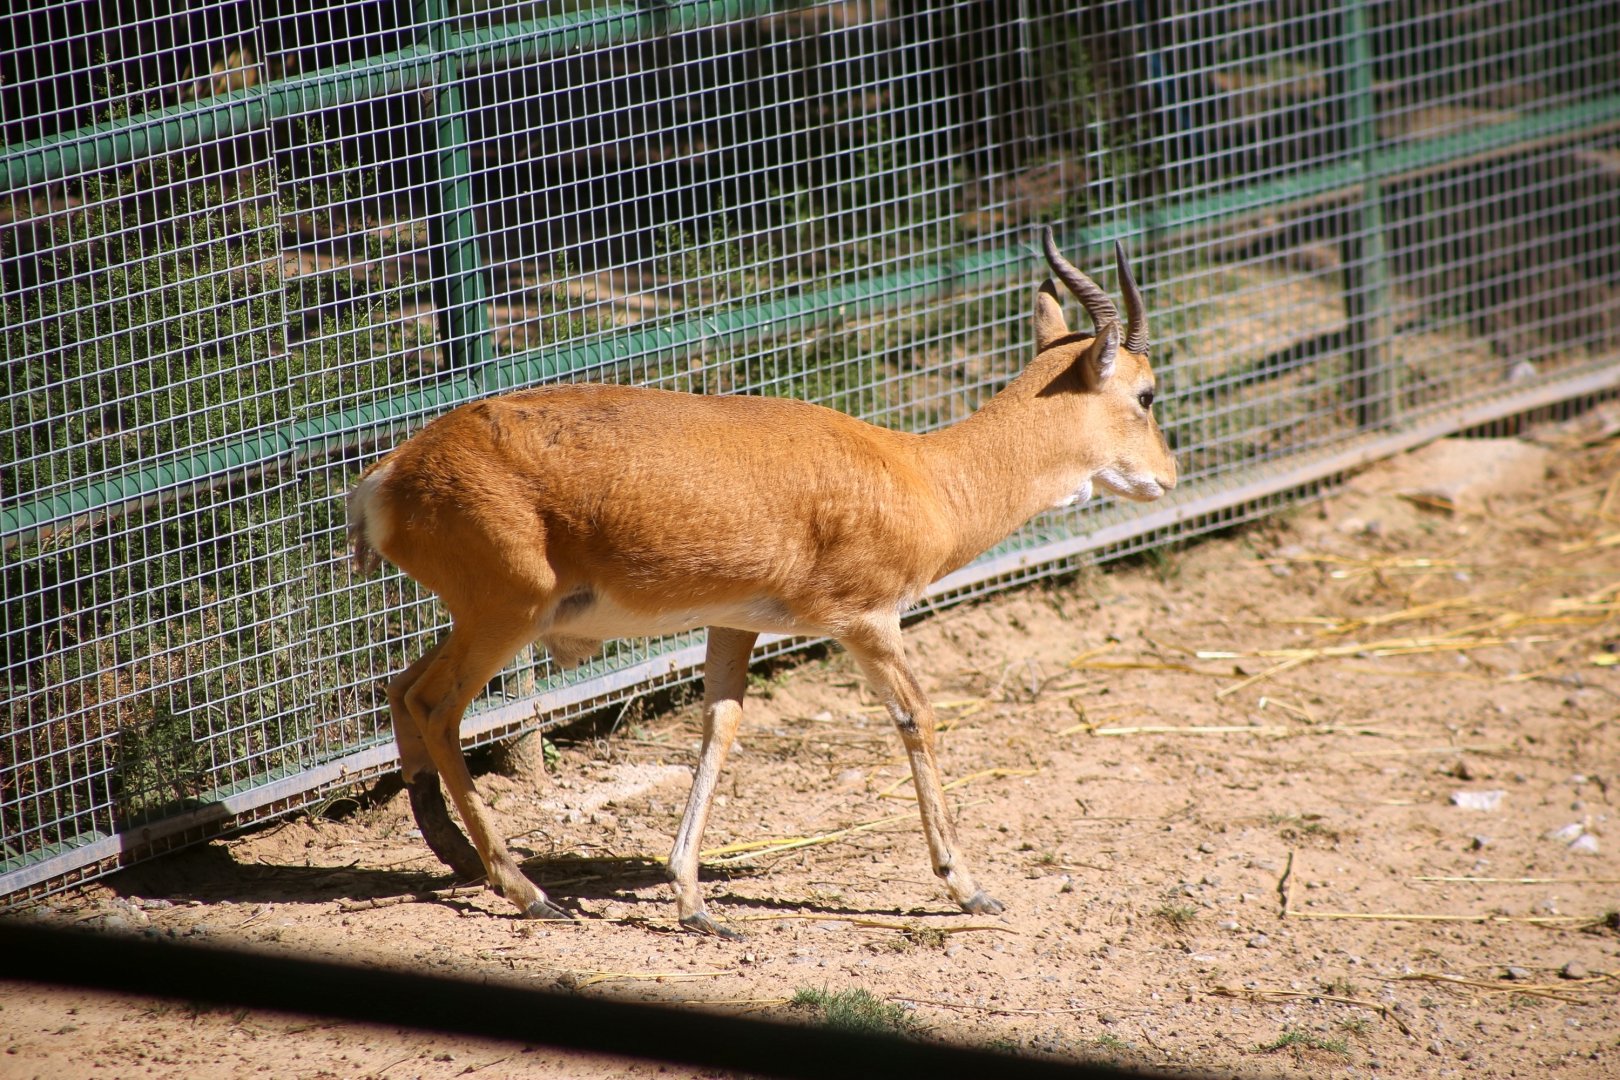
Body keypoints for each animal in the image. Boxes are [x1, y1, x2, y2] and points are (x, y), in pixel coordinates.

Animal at [348, 227, 1176, 936]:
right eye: (1147, 395)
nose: (1167, 477)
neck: (924, 477)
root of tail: (392, 475)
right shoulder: (867, 621)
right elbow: (918, 716)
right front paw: (968, 887)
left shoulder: (736, 620)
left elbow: (720, 725)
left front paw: (693, 901)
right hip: (507, 616)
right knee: (435, 705)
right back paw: (527, 892)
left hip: (485, 619)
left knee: (401, 686)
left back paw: (457, 854)